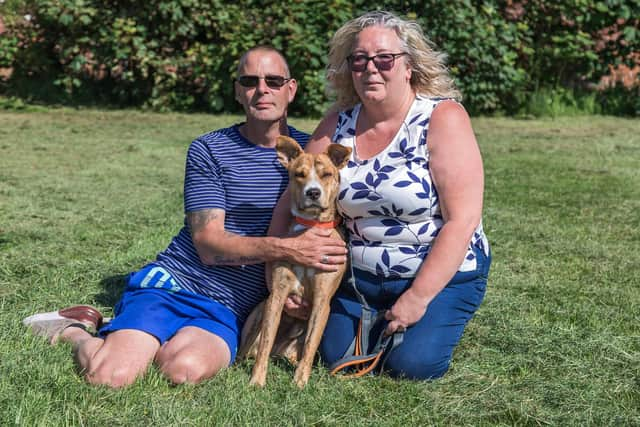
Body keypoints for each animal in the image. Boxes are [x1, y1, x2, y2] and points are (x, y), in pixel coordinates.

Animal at [239, 135, 350, 390]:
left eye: (326, 174)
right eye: (299, 174)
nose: (313, 193)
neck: (309, 229)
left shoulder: (322, 302)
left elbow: (310, 343)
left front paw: (299, 382)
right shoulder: (277, 297)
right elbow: (266, 341)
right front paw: (256, 381)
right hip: (258, 315)